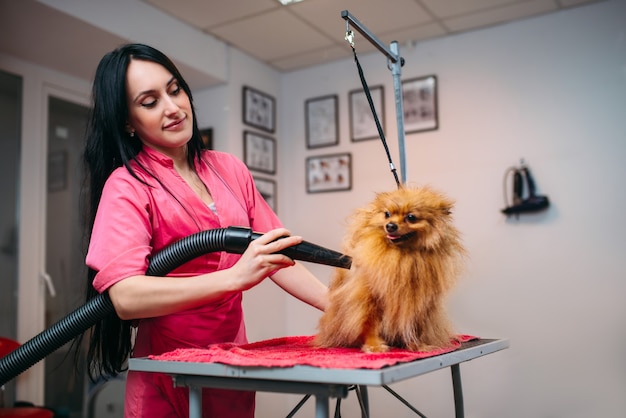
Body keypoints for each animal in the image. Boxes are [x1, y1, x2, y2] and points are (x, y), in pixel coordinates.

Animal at [312, 186, 464, 352]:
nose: (390, 225)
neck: (401, 255)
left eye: (411, 217)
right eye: (387, 214)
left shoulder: (419, 303)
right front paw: (374, 345)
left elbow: (414, 326)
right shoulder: (368, 299)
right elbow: (369, 325)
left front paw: (417, 345)